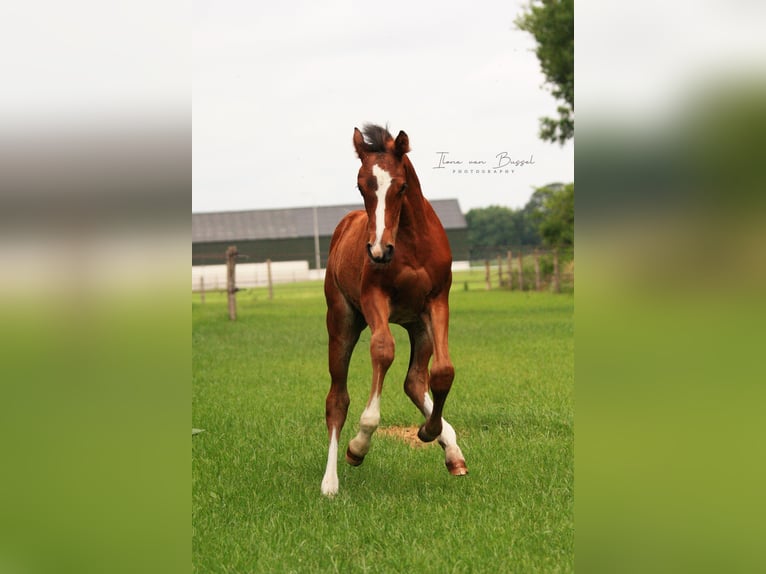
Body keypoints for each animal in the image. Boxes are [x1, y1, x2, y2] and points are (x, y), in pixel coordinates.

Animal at [322, 124, 472, 498]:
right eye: (361, 185)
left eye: (401, 186)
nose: (378, 251)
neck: (411, 242)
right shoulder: (374, 297)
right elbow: (382, 350)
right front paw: (359, 446)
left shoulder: (438, 300)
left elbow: (444, 371)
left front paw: (430, 431)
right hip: (342, 321)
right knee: (337, 399)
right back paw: (330, 481)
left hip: (418, 325)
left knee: (415, 381)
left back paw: (452, 450)